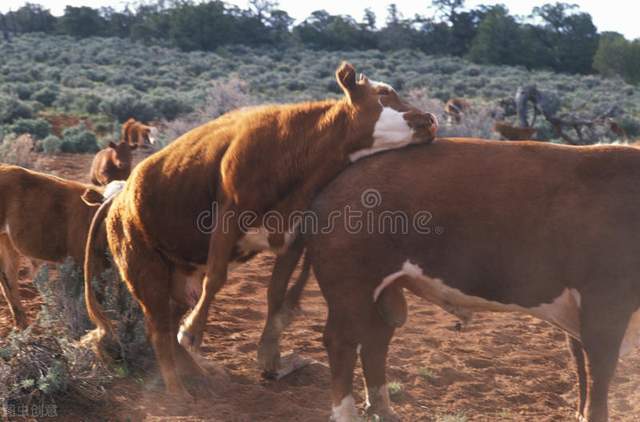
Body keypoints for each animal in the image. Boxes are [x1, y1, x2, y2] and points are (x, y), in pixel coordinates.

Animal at [82, 61, 438, 398]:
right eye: (384, 93)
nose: (431, 119)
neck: (294, 151)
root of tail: (118, 198)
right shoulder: (228, 216)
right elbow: (216, 279)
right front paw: (193, 331)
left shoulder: (293, 237)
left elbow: (275, 292)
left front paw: (269, 353)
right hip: (143, 269)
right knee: (158, 329)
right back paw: (177, 390)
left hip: (177, 276)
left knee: (166, 323)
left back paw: (200, 374)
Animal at [304, 139, 640, 422]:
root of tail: (343, 177)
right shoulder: (605, 302)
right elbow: (598, 371)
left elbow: (581, 364)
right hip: (350, 284)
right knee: (343, 341)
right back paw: (347, 414)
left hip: (382, 290)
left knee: (375, 340)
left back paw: (383, 410)